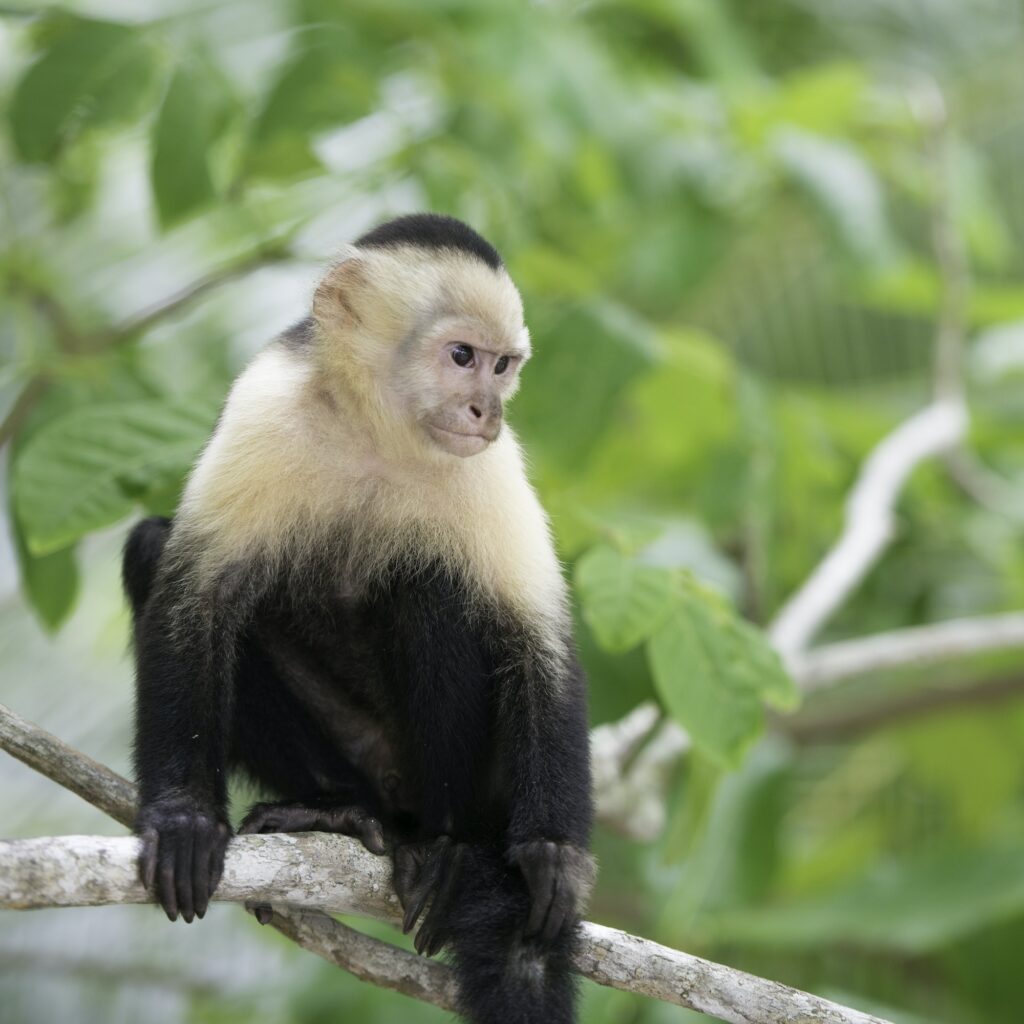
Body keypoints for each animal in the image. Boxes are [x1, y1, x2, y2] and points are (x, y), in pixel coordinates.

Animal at [123, 214, 598, 1024]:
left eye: (503, 366)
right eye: (462, 357)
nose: (489, 409)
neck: (379, 436)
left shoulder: (492, 465)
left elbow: (534, 638)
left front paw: (554, 854)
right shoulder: (265, 406)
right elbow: (195, 592)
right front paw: (184, 818)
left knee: (432, 588)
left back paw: (450, 846)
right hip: (362, 756)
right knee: (151, 552)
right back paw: (337, 812)